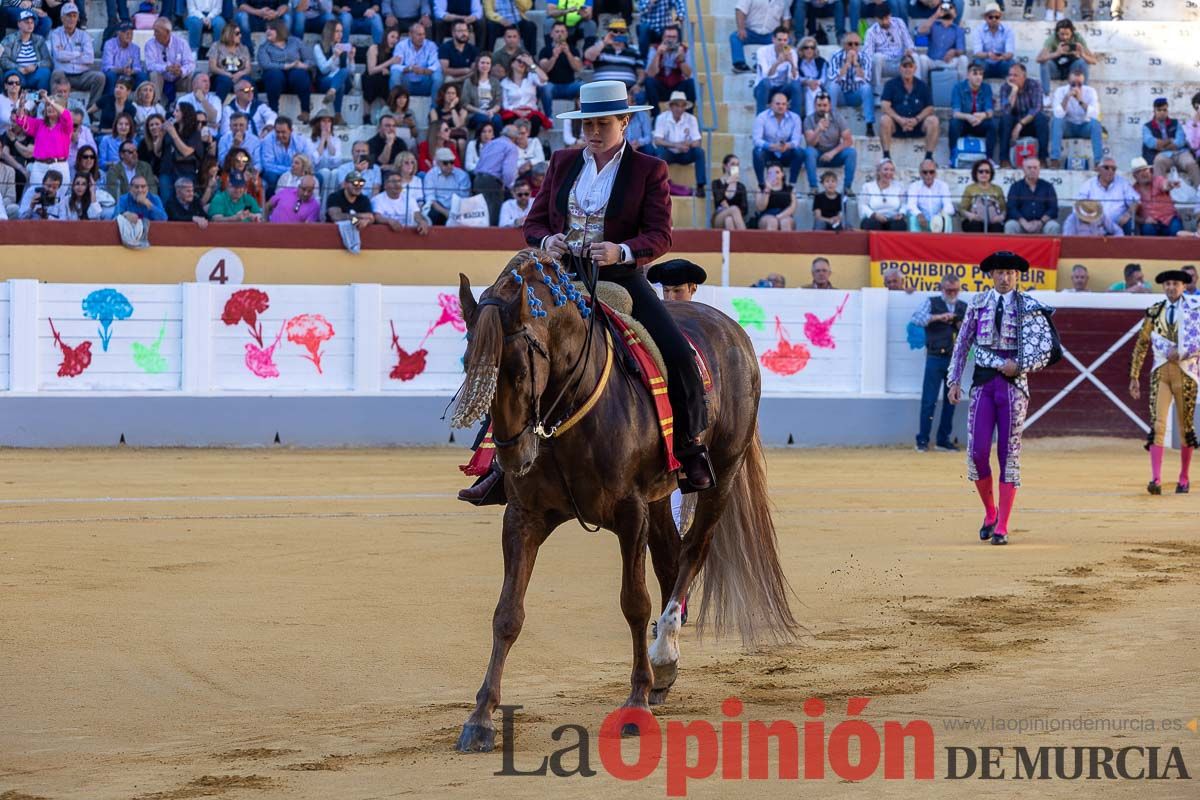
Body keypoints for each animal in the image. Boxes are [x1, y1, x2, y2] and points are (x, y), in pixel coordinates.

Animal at [451, 250, 796, 753]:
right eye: (468, 365)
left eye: (517, 367)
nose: (512, 457)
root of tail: (732, 330)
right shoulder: (524, 516)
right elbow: (507, 613)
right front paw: (480, 718)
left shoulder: (630, 514)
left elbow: (634, 603)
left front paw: (635, 705)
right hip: (660, 500)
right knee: (671, 559)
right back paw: (665, 672)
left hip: (720, 478)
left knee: (693, 554)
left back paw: (664, 656)